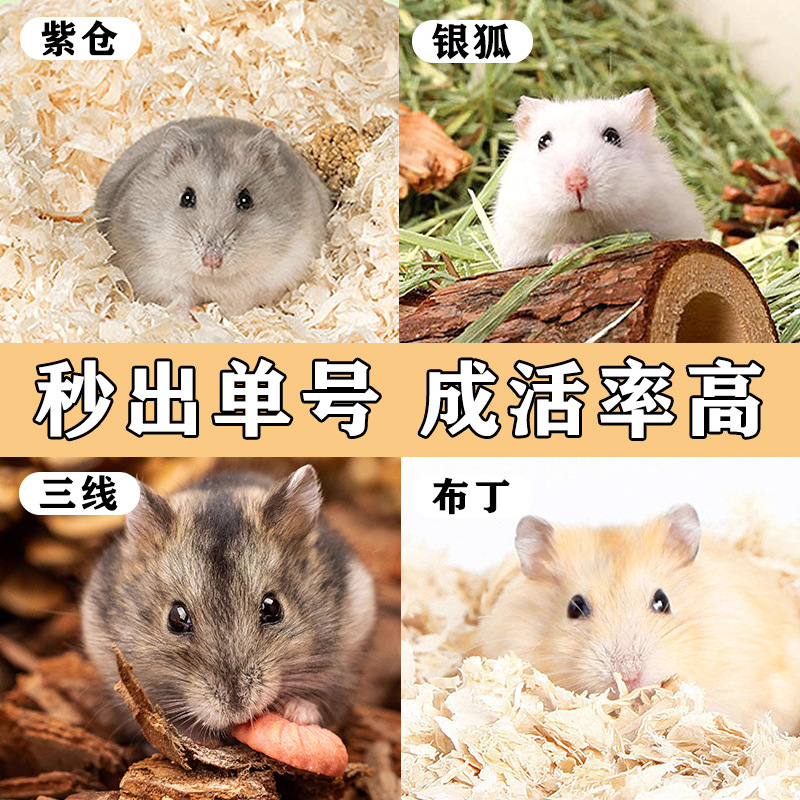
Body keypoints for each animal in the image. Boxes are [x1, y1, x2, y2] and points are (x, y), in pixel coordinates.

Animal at [94, 117, 332, 316]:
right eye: (186, 197)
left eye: (246, 200)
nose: (212, 261)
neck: (213, 280)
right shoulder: (153, 273)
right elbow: (177, 298)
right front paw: (185, 317)